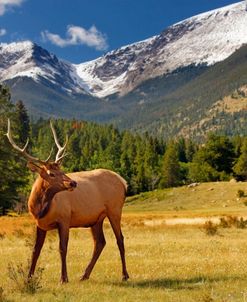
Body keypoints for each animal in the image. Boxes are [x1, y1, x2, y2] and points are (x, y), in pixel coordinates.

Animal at [5, 119, 129, 284]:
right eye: (51, 173)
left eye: (62, 169)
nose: (73, 183)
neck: (40, 208)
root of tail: (123, 182)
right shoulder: (40, 224)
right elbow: (35, 250)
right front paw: (28, 278)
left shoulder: (64, 219)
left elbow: (62, 248)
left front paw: (63, 278)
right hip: (96, 218)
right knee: (100, 242)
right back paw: (84, 275)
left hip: (114, 210)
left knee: (120, 239)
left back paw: (124, 275)